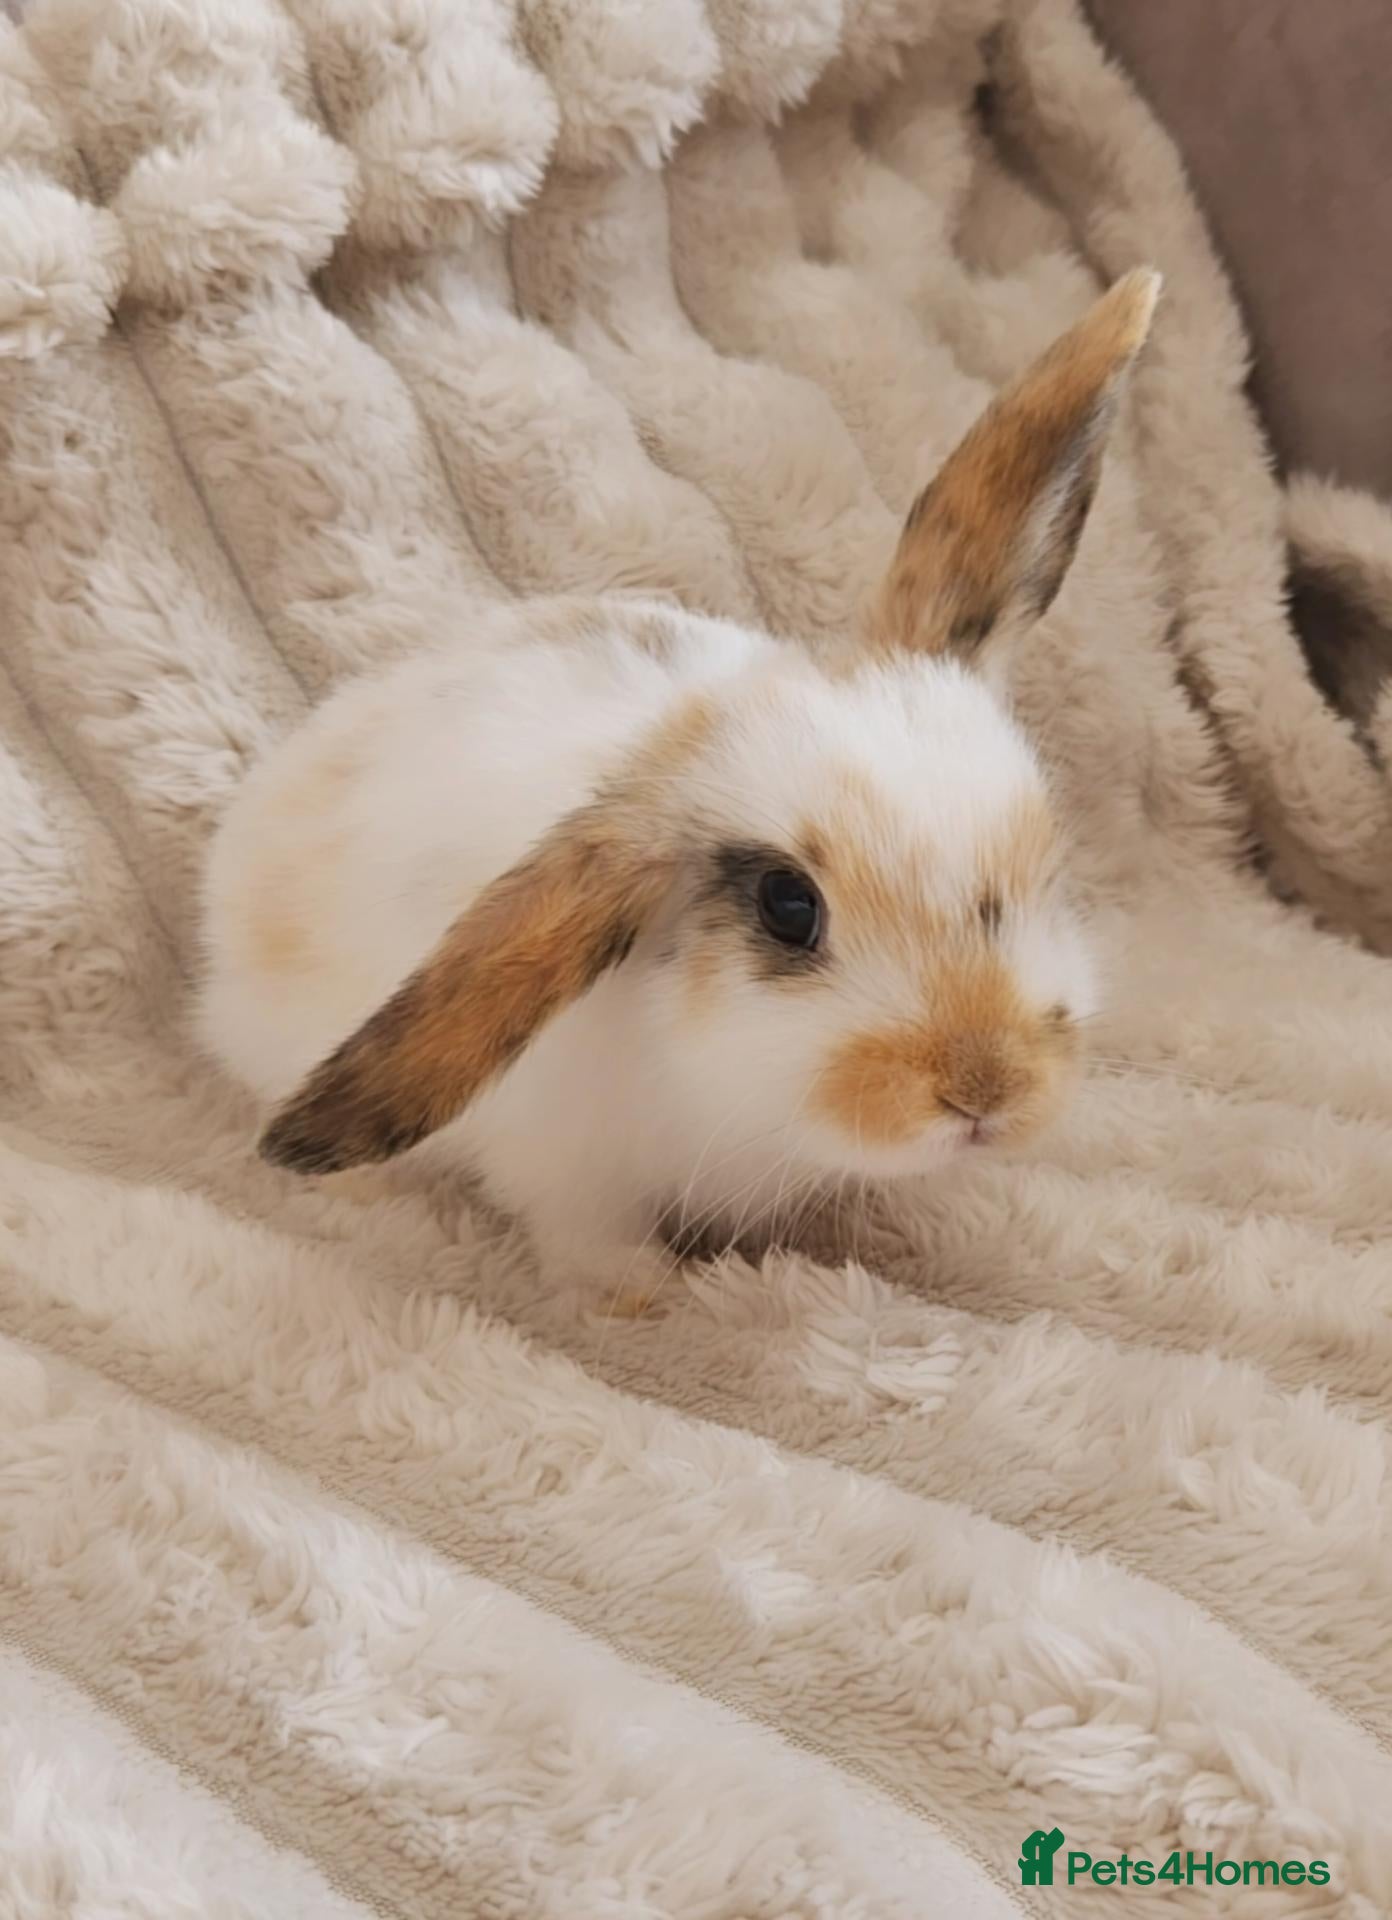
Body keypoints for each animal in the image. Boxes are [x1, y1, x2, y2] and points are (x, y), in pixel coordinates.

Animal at [199, 268, 1159, 1312]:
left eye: (1047, 865)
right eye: (789, 908)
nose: (985, 1092)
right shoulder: (567, 1169)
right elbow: (589, 1240)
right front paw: (645, 1293)